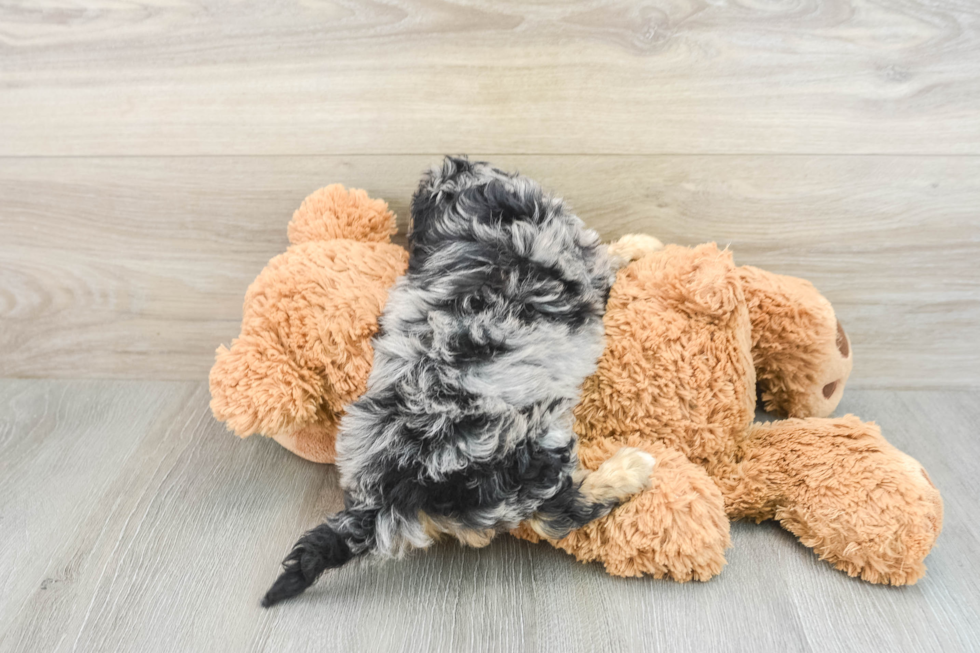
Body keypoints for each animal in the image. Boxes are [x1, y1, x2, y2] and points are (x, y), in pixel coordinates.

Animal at [264, 157, 656, 608]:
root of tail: (394, 491)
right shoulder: (580, 263)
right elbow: (607, 255)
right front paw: (641, 243)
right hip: (527, 452)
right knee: (554, 516)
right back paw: (629, 470)